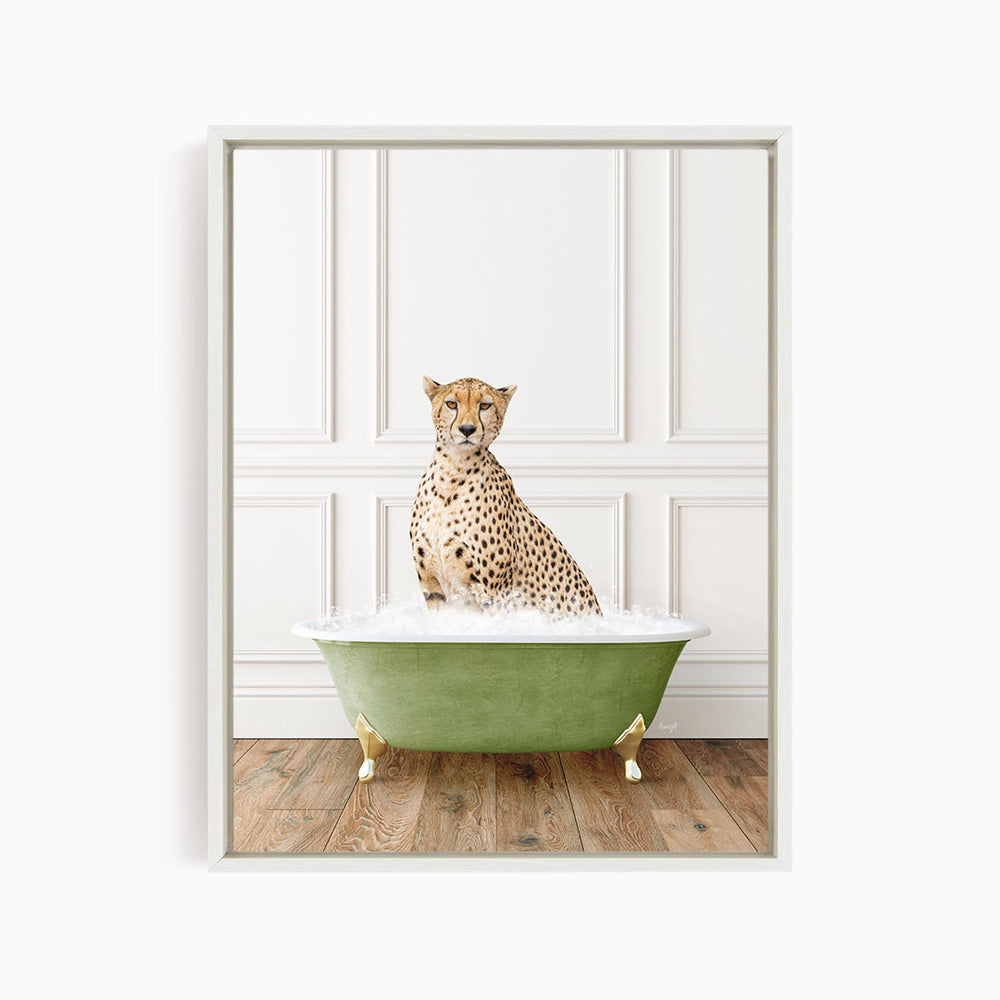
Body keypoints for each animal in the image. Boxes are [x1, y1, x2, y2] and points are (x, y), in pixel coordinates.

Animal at [409, 375, 602, 617]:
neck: (453, 470)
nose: (467, 429)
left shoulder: (493, 594)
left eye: (485, 406)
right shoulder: (433, 589)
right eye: (451, 404)